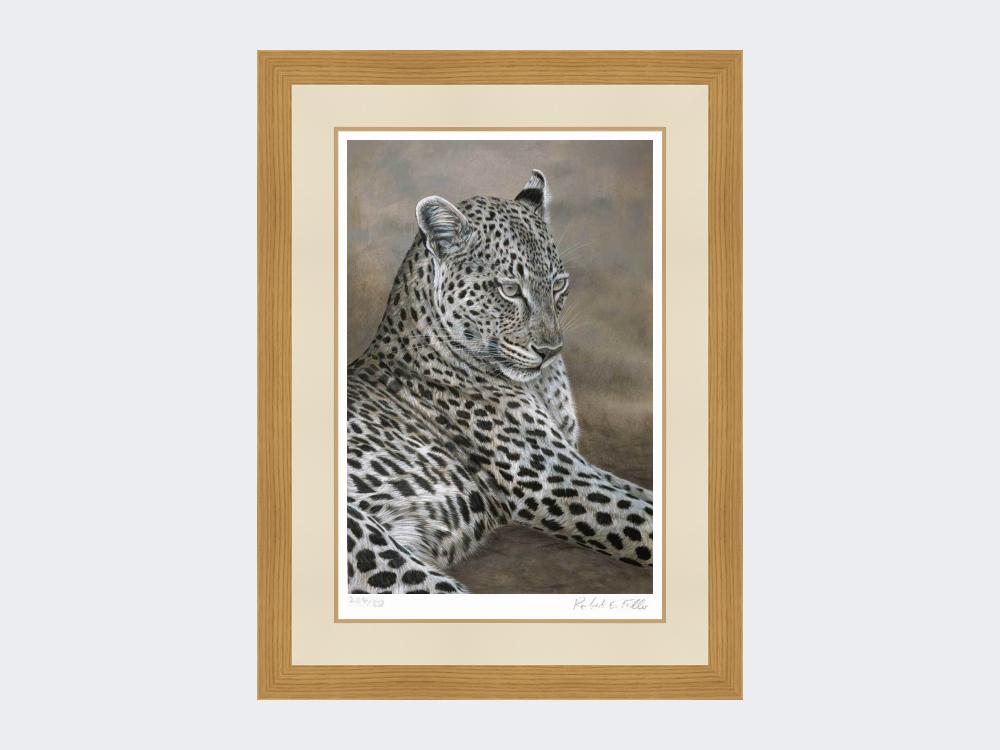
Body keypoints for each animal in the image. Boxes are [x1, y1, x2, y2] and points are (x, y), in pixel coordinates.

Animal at [346, 170, 654, 593]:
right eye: (509, 290)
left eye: (558, 285)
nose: (551, 350)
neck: (541, 384)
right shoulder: (551, 479)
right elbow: (643, 520)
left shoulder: (574, 463)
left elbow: (643, 494)